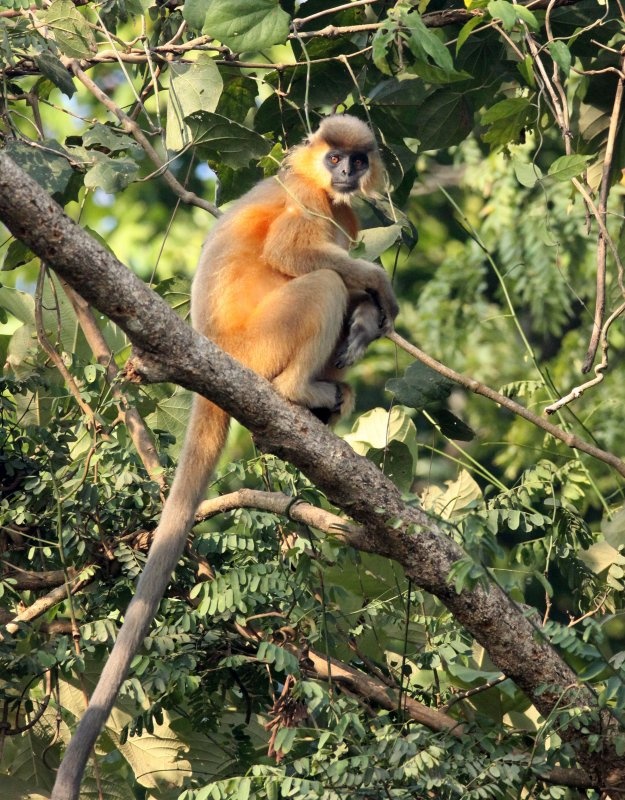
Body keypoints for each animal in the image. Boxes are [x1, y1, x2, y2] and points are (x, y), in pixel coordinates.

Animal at [51, 114, 398, 800]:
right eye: (335, 157)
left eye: (357, 159)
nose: (347, 172)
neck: (323, 188)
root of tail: (212, 355)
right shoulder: (311, 202)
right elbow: (295, 256)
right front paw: (380, 288)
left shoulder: (342, 210)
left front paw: (371, 318)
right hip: (262, 345)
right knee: (324, 280)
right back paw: (301, 391)